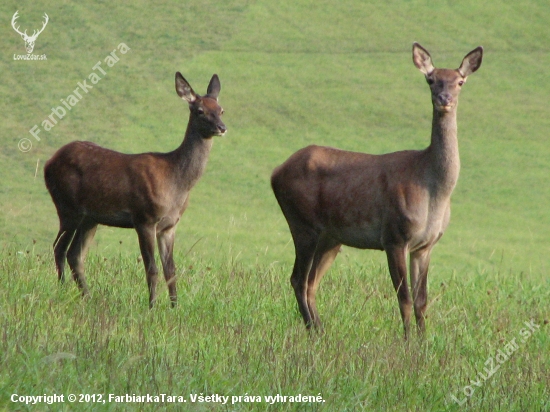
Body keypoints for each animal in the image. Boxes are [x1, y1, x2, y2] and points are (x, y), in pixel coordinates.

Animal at [43, 72, 226, 308]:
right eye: (200, 110)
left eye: (221, 109)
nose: (222, 127)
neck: (176, 183)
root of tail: (49, 162)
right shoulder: (144, 218)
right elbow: (152, 269)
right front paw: (152, 307)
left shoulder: (170, 226)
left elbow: (171, 270)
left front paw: (175, 307)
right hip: (67, 206)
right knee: (59, 248)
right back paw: (62, 291)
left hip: (90, 218)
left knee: (75, 255)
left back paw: (88, 297)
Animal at [272, 43, 484, 338]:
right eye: (430, 79)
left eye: (460, 81)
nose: (444, 98)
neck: (434, 191)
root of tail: (275, 172)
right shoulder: (394, 236)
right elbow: (404, 298)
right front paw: (407, 341)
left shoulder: (425, 245)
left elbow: (422, 301)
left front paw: (425, 341)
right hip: (302, 222)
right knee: (298, 279)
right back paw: (314, 331)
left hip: (331, 236)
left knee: (311, 282)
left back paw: (321, 331)